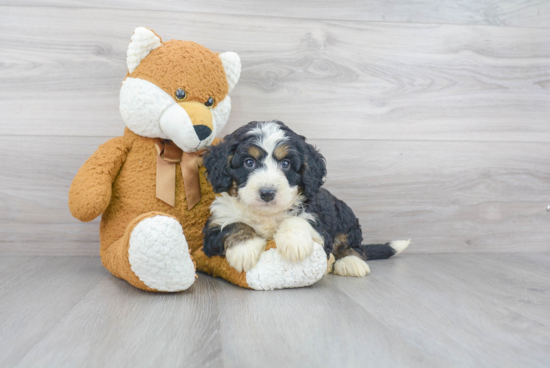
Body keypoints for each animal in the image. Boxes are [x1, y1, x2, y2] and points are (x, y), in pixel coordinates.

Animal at [203, 121, 410, 276]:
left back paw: (351, 261)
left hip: (344, 214)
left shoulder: (318, 220)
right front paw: (244, 249)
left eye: (286, 164)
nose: (267, 193)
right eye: (249, 162)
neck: (266, 214)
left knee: (353, 244)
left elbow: (299, 220)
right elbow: (234, 224)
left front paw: (294, 243)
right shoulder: (213, 227)